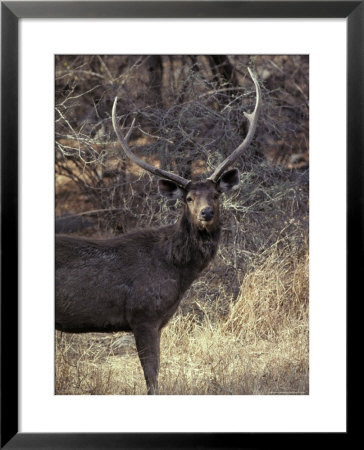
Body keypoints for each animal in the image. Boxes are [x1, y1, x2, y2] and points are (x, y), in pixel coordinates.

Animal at [54, 67, 262, 394]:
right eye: (188, 198)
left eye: (216, 194)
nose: (206, 213)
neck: (175, 271)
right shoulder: (143, 314)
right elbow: (152, 378)